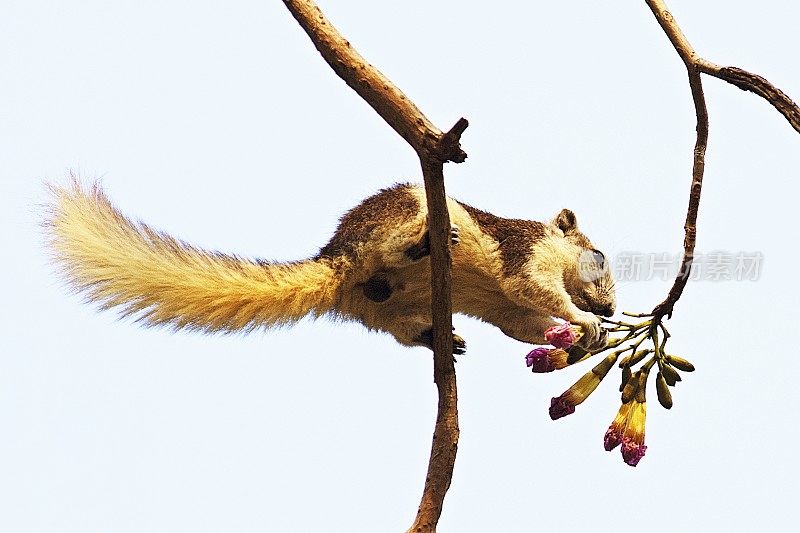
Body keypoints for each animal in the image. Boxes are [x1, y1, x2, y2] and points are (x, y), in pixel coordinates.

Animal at [47, 181, 616, 352]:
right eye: (600, 259)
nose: (612, 310)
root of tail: (336, 261)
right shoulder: (525, 255)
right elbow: (534, 289)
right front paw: (584, 322)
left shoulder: (505, 309)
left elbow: (523, 323)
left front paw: (577, 335)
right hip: (402, 215)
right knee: (397, 244)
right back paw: (423, 247)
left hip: (381, 310)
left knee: (399, 326)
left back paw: (438, 336)